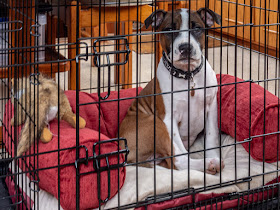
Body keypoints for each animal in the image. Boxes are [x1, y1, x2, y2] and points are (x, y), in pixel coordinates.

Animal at [120, 7, 225, 174]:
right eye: (169, 30)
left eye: (197, 28)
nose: (185, 47)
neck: (188, 75)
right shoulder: (169, 119)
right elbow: (180, 152)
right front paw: (212, 160)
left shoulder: (211, 108)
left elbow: (211, 137)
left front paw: (214, 154)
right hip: (154, 124)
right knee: (178, 161)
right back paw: (209, 163)